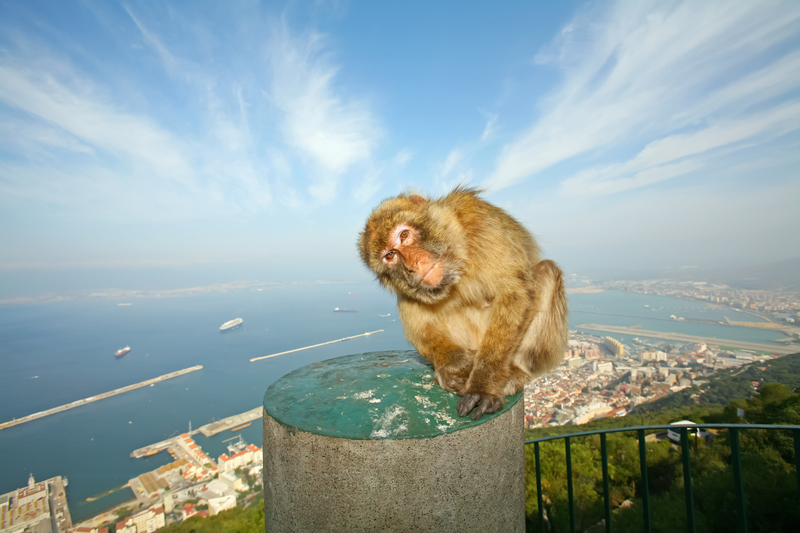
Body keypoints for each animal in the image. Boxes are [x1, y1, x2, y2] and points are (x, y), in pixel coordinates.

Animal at [358, 186, 568, 420]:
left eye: (404, 234)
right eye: (390, 255)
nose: (414, 264)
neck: (456, 259)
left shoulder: (481, 221)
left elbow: (515, 293)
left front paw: (482, 385)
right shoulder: (407, 291)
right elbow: (420, 330)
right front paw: (460, 364)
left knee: (546, 271)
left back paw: (516, 373)